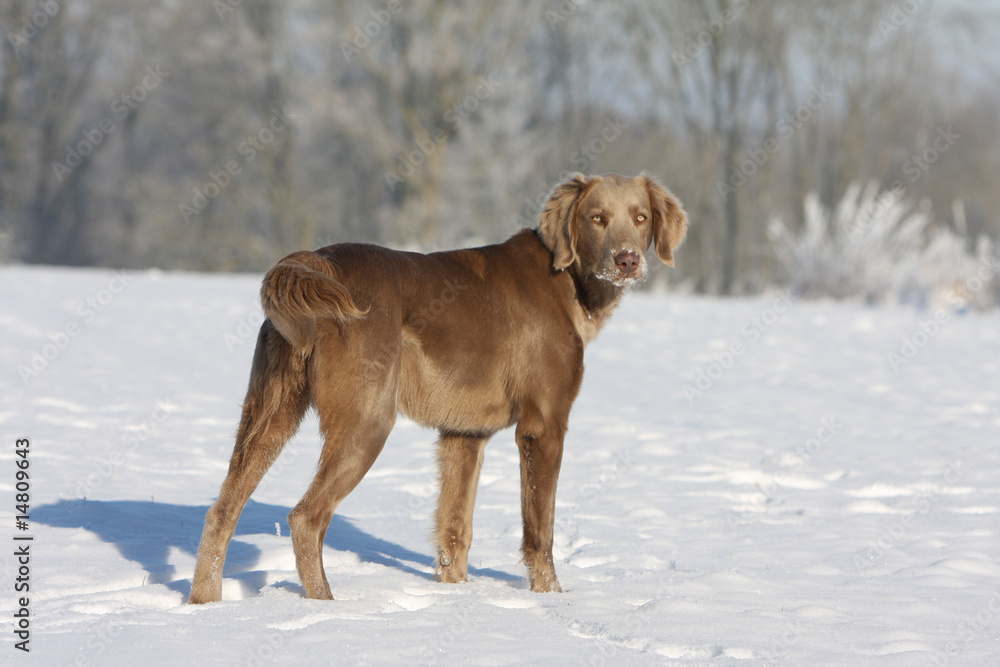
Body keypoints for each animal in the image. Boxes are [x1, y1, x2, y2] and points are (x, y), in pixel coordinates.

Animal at [188, 172, 684, 604]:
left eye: (640, 217)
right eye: (596, 218)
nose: (627, 260)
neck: (568, 282)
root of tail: (314, 261)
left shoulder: (464, 434)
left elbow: (455, 530)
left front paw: (453, 596)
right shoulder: (544, 425)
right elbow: (540, 530)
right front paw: (551, 598)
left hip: (271, 413)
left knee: (222, 511)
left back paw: (204, 604)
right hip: (366, 420)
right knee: (305, 518)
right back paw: (326, 606)